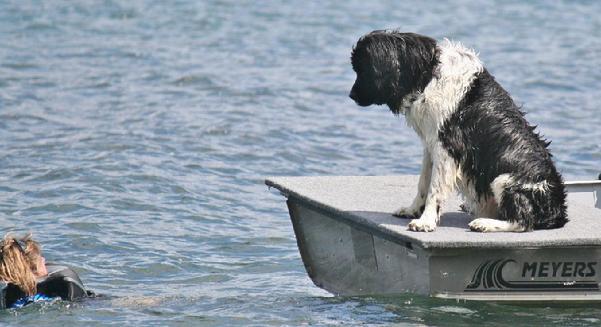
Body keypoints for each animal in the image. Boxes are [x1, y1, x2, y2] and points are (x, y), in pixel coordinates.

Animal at [346, 29, 568, 232]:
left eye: (362, 69)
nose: (351, 95)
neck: (427, 74)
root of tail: (557, 211)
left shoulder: (448, 146)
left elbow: (434, 188)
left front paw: (425, 222)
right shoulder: (431, 143)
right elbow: (423, 182)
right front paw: (412, 210)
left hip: (503, 180)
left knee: (522, 221)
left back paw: (484, 223)